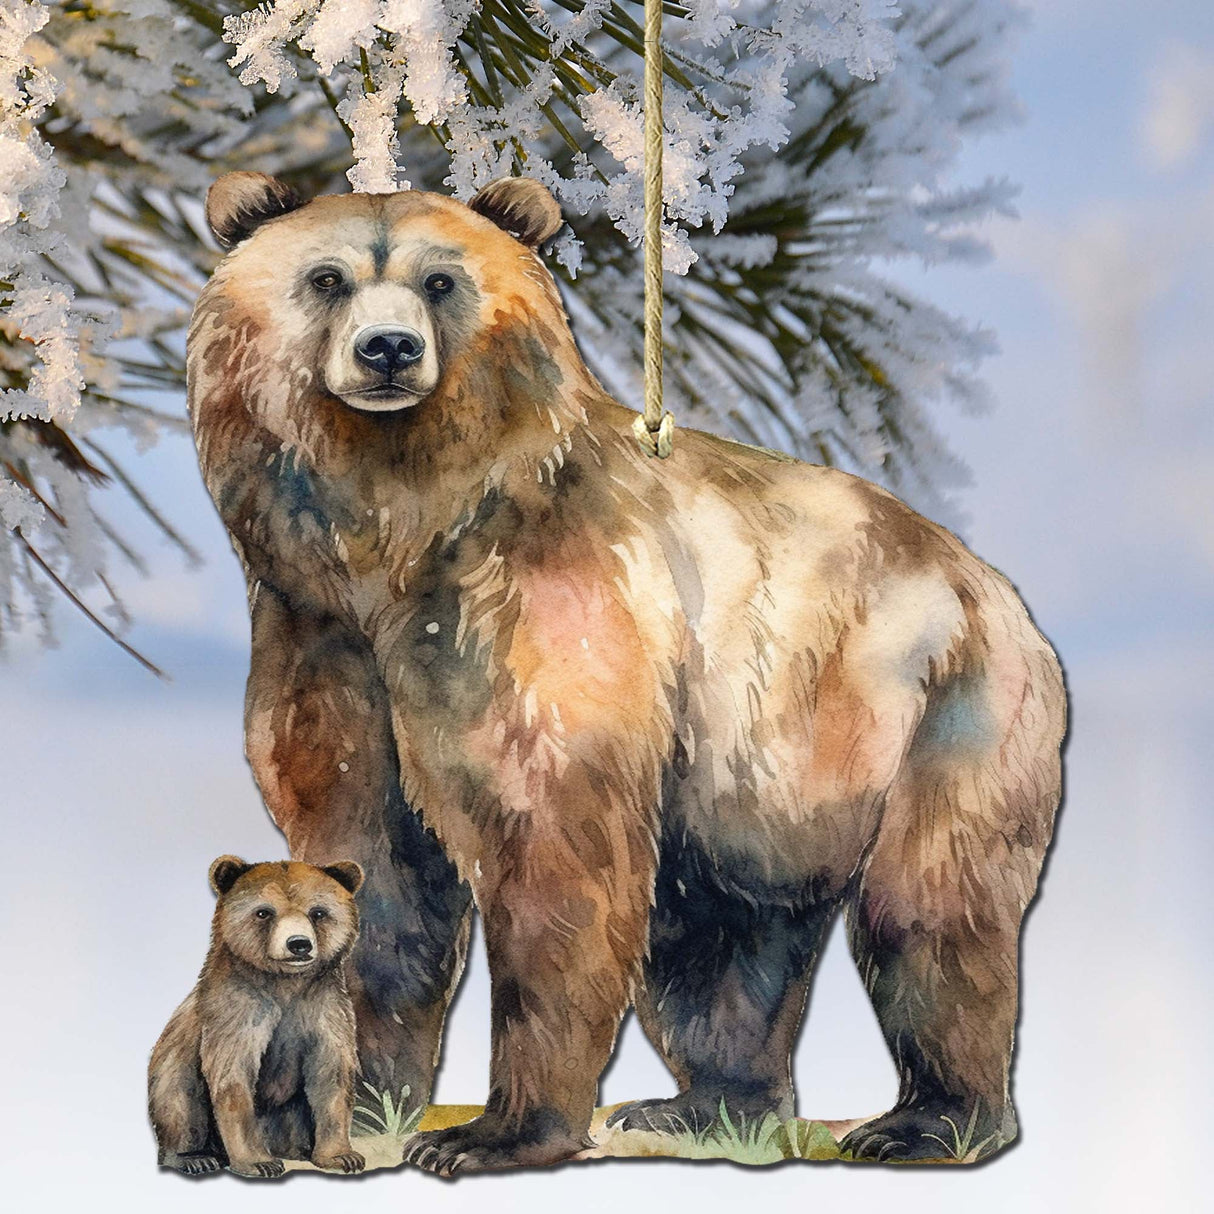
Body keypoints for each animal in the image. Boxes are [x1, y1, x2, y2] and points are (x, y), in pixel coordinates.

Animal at [148, 856, 366, 1178]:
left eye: (318, 912)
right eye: (264, 912)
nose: (298, 944)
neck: (285, 983)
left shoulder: (325, 1008)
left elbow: (331, 1075)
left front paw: (342, 1156)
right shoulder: (237, 1010)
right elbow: (233, 1076)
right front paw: (259, 1162)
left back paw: (297, 1150)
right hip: (174, 1067)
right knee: (179, 1102)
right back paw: (194, 1158)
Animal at [186, 171, 1066, 1174]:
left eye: (441, 281)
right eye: (326, 277)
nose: (389, 349)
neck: (397, 532)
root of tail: (994, 588)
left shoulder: (547, 621)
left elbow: (555, 853)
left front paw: (493, 1133)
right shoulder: (322, 642)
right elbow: (375, 861)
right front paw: (367, 1105)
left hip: (933, 712)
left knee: (930, 912)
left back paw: (927, 1121)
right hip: (755, 787)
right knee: (720, 938)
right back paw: (706, 1106)